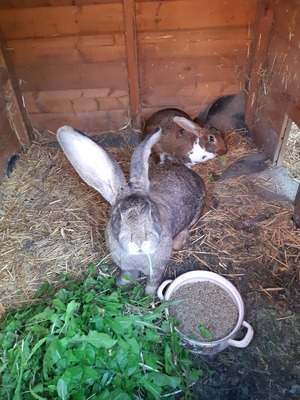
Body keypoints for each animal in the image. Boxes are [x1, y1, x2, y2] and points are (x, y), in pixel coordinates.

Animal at [56, 125, 206, 294]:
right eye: (117, 216)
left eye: (151, 211)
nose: (139, 242)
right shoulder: (127, 268)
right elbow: (128, 277)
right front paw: (120, 284)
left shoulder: (157, 270)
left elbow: (152, 283)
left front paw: (149, 296)